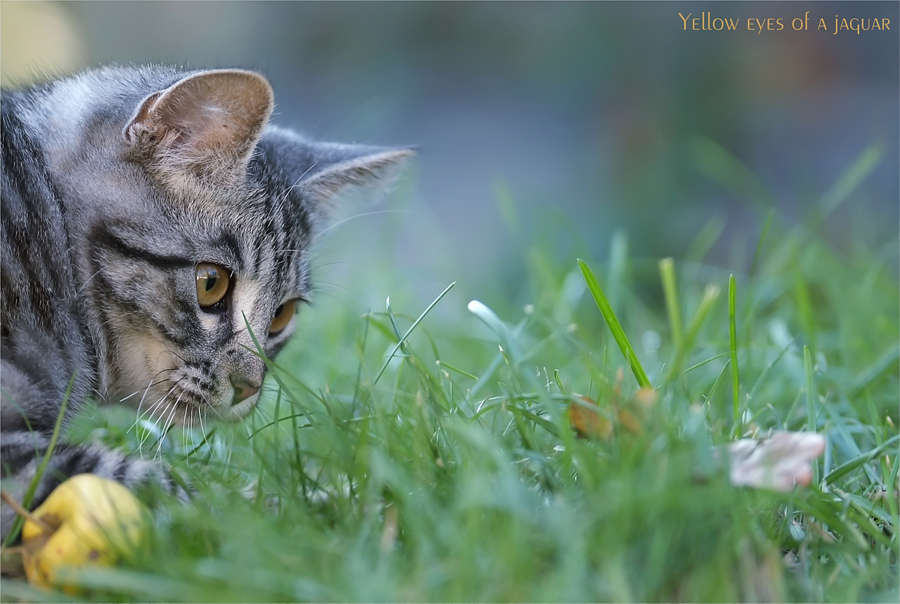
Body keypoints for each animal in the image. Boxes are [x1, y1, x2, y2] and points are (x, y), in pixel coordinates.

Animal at [0, 63, 414, 540]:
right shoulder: (18, 464)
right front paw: (342, 509)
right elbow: (196, 496)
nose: (249, 387)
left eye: (282, 315)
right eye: (211, 284)